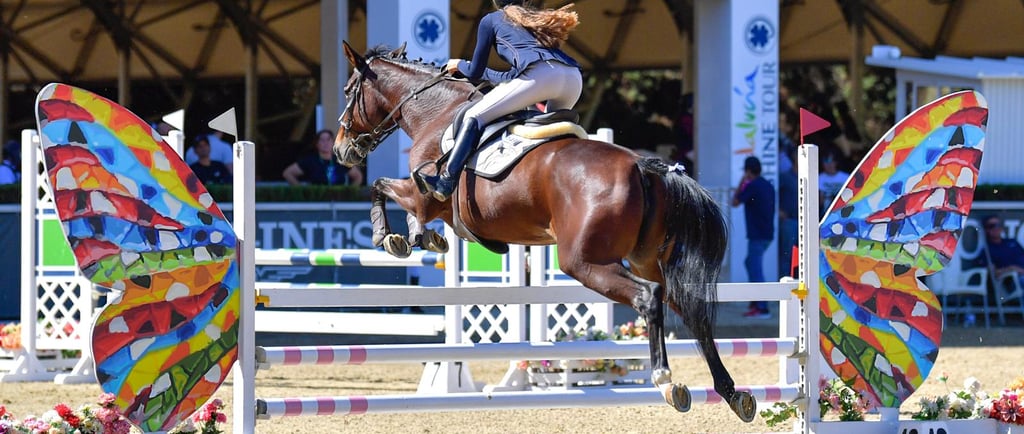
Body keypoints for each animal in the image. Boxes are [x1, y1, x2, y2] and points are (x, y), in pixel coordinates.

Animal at [333, 41, 755, 422]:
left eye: (348, 91)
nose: (341, 151)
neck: (436, 113)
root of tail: (643, 166)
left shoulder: (424, 196)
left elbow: (382, 188)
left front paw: (389, 237)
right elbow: (405, 209)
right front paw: (421, 238)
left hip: (584, 263)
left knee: (648, 297)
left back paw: (666, 381)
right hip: (646, 259)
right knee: (690, 310)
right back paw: (732, 393)